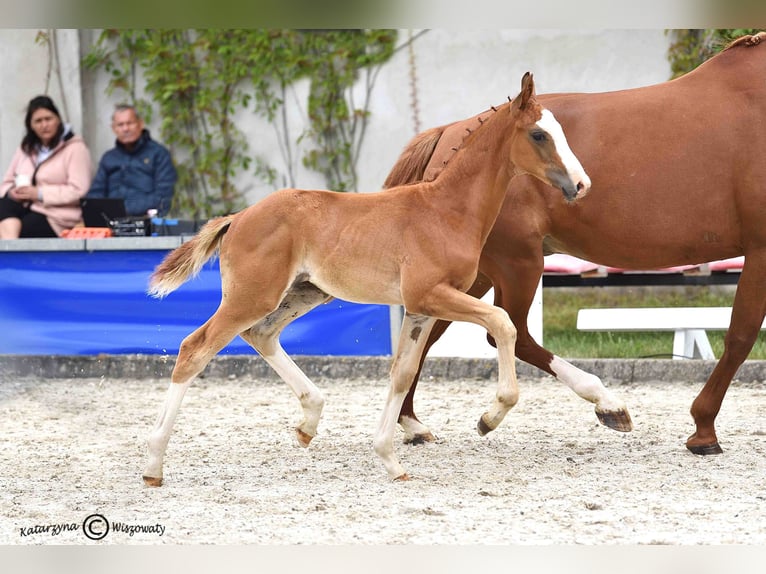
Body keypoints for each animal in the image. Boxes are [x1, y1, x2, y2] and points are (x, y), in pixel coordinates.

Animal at [144, 73, 596, 486]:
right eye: (538, 134)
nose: (581, 184)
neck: (446, 211)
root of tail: (237, 218)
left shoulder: (420, 309)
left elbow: (402, 372)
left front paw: (390, 459)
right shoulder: (432, 295)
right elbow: (503, 324)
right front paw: (491, 416)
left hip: (305, 293)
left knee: (261, 334)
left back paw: (309, 421)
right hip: (253, 296)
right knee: (195, 348)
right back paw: (153, 464)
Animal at [388, 31, 766, 456]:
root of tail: (451, 134)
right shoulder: (761, 248)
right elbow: (740, 336)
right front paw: (703, 431)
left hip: (480, 272)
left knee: (432, 332)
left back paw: (412, 423)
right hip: (518, 263)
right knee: (510, 331)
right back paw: (603, 404)